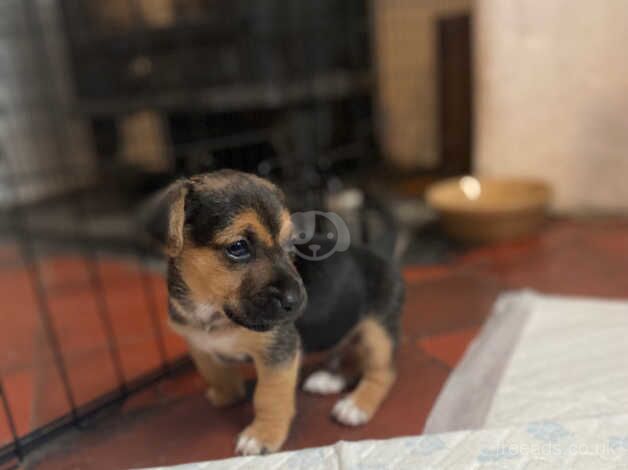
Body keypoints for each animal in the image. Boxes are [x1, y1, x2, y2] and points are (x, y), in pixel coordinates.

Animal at [142, 171, 404, 454]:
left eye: (290, 244)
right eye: (238, 247)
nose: (298, 301)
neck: (211, 312)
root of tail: (380, 250)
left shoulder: (278, 351)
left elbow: (270, 395)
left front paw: (263, 435)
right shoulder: (197, 342)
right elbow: (212, 370)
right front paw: (226, 393)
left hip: (378, 329)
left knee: (383, 371)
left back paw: (357, 405)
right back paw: (330, 379)